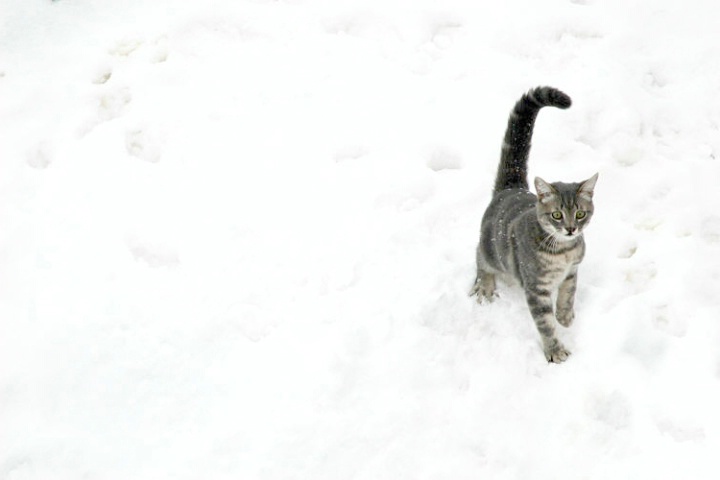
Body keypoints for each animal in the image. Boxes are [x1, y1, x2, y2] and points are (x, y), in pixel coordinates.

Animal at [470, 87, 600, 364]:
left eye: (580, 213)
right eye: (557, 215)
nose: (571, 228)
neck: (563, 251)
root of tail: (511, 188)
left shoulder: (572, 270)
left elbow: (568, 293)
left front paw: (565, 316)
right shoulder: (535, 287)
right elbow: (545, 323)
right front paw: (555, 350)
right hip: (491, 250)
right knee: (479, 255)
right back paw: (485, 285)